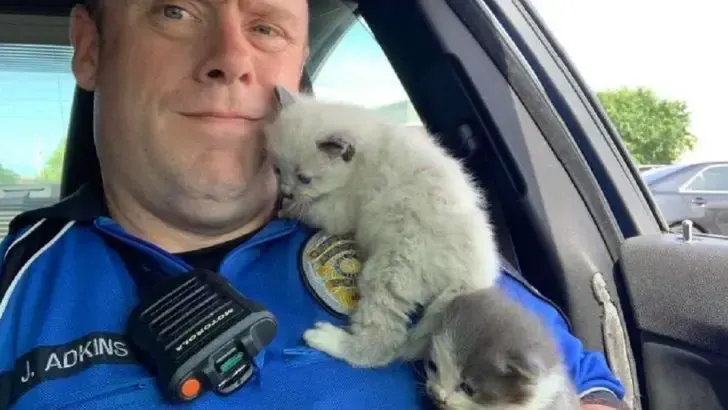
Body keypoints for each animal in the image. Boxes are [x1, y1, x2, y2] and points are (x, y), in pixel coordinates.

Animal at [264, 85, 504, 366]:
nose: (285, 191)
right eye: (278, 170)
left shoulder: (341, 210)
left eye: (305, 178)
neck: (360, 158)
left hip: (390, 270)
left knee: (382, 344)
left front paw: (287, 209)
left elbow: (312, 209)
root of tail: (475, 276)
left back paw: (328, 339)